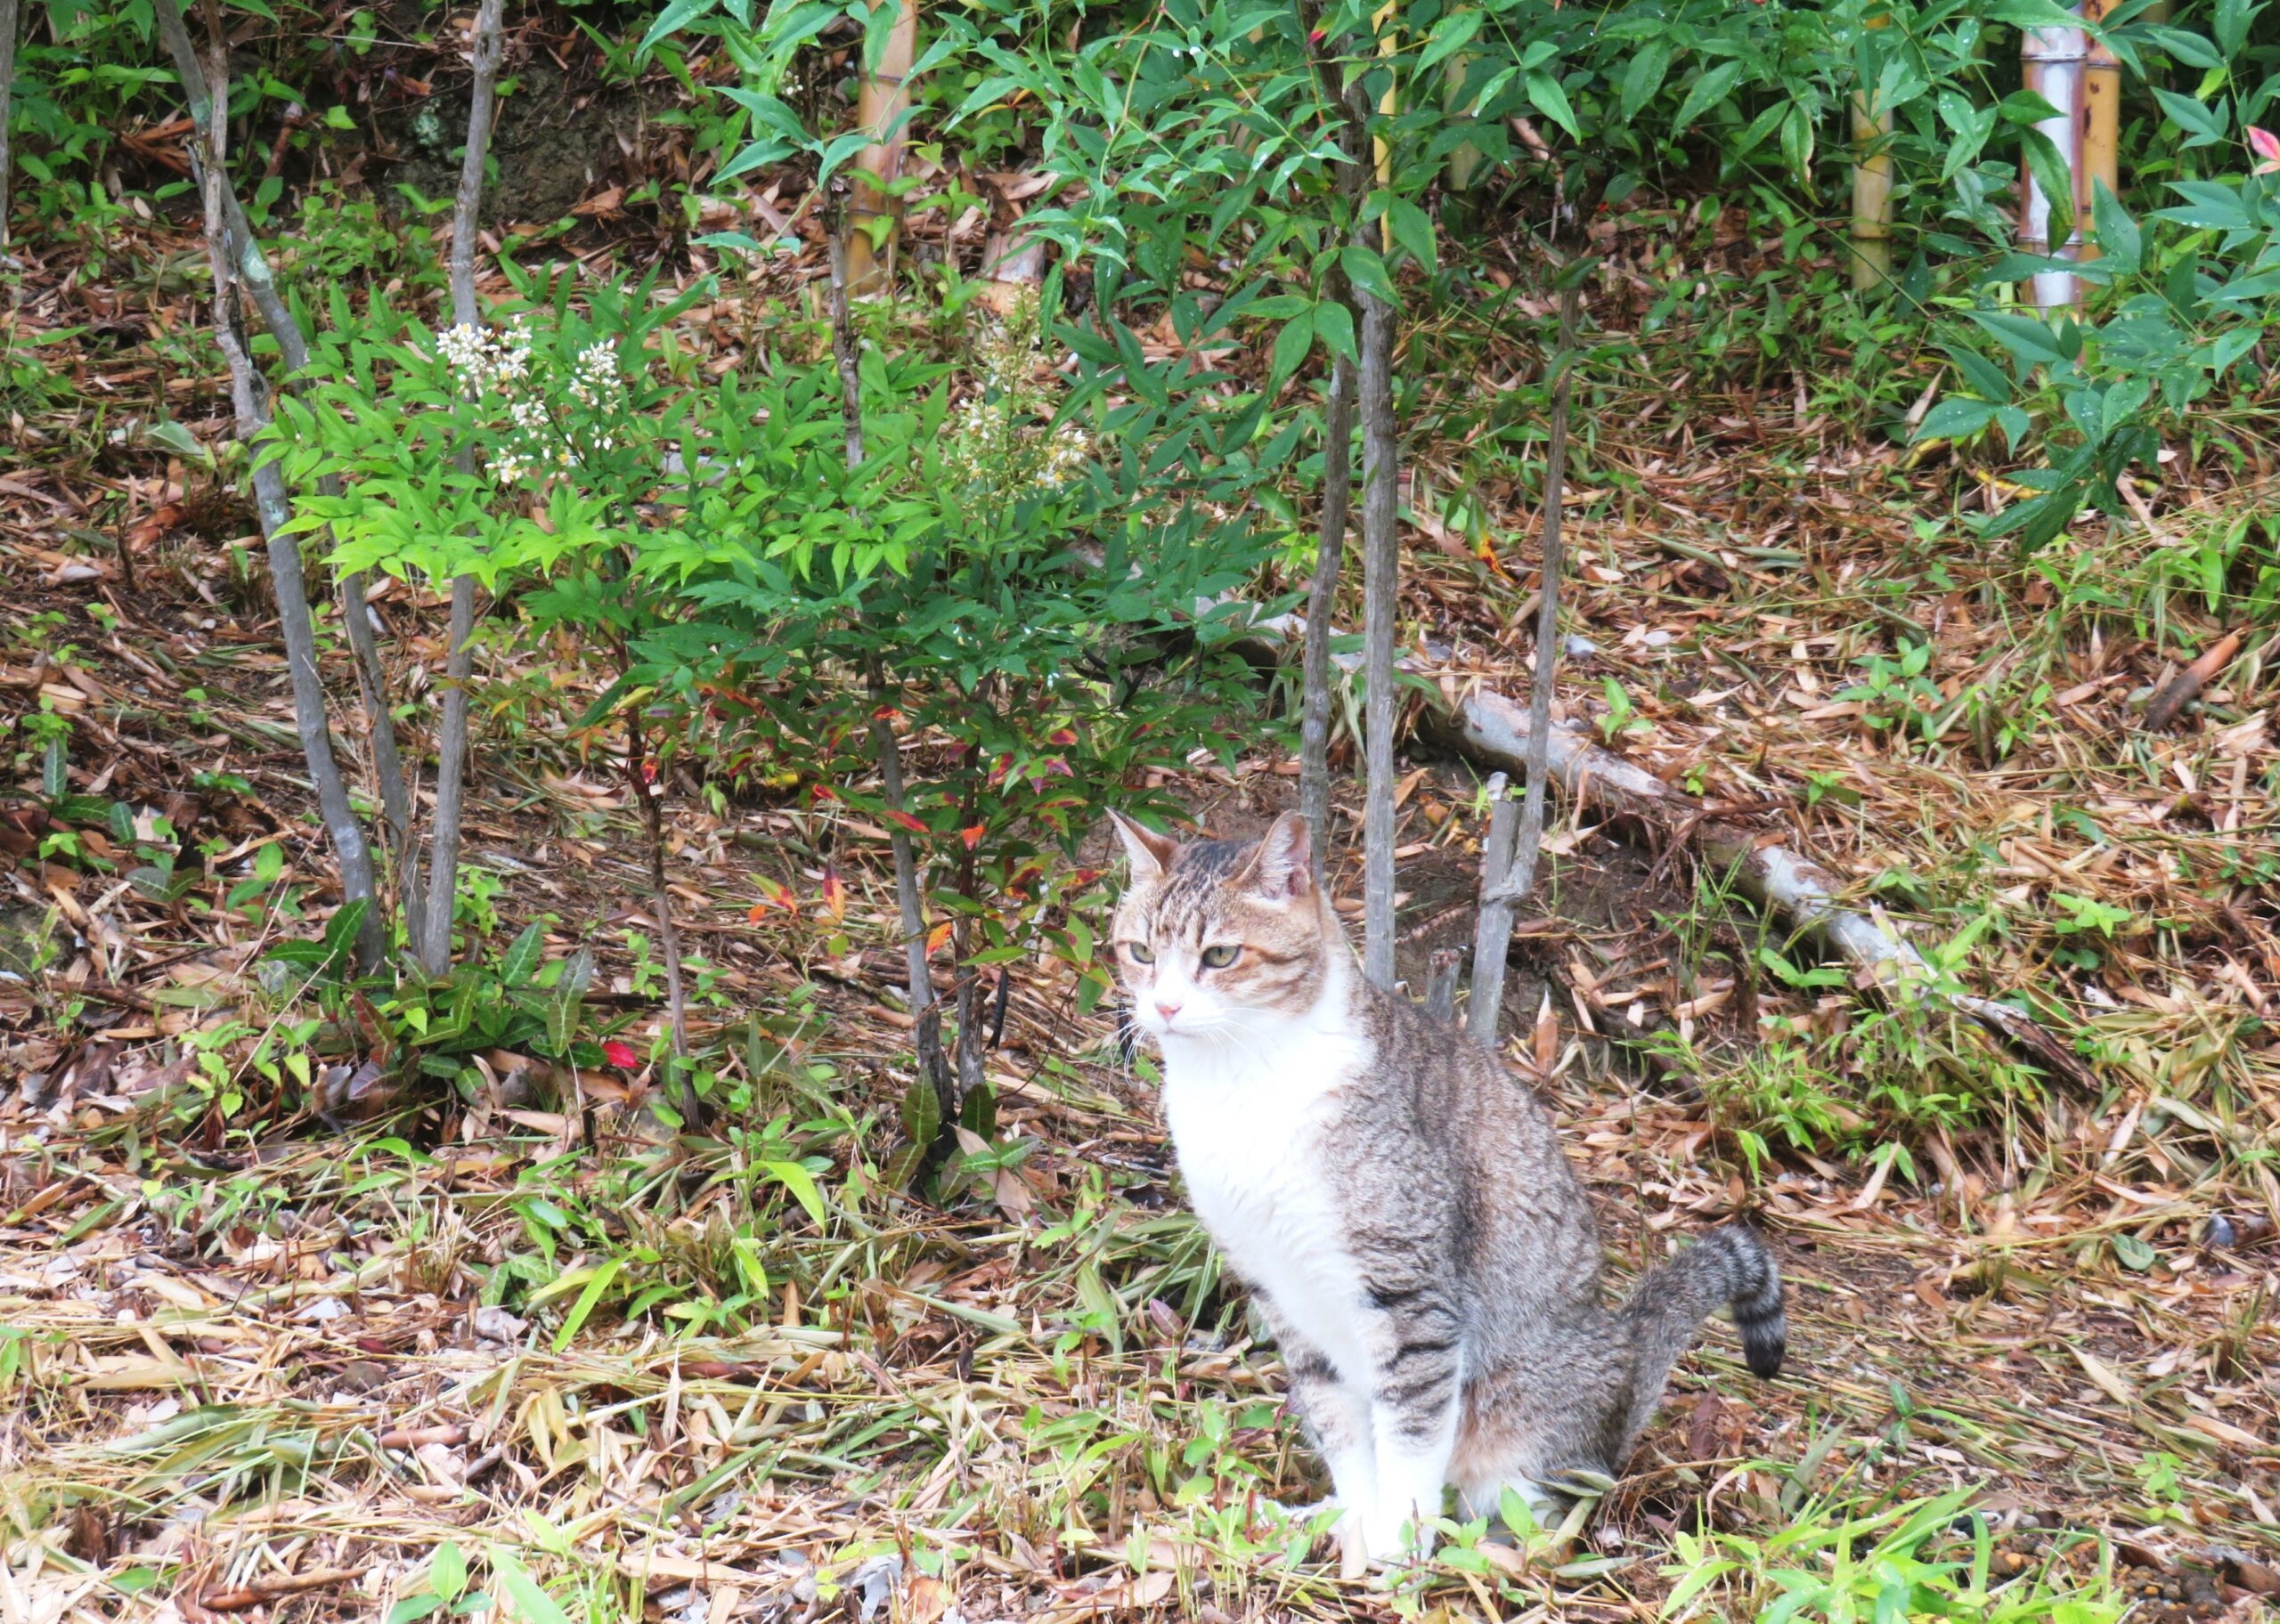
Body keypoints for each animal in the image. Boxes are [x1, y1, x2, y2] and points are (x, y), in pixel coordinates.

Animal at [1112, 812, 1787, 1569]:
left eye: (1222, 956)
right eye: (1140, 951)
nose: (1164, 1006)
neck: (1239, 1086)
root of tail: (1629, 1354)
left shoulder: (1409, 1292)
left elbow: (1410, 1431)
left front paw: (1396, 1550)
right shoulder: (1277, 1289)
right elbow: (1342, 1426)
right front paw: (1354, 1523)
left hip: (1528, 1420)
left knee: (1548, 1511)